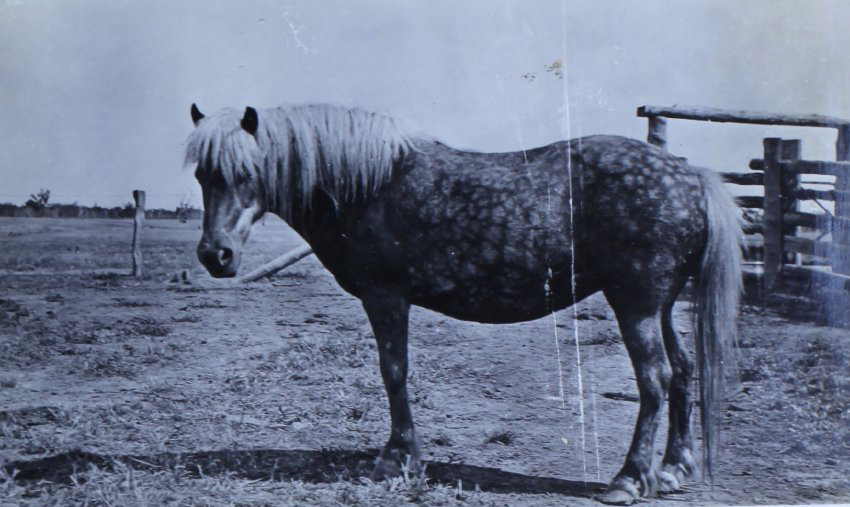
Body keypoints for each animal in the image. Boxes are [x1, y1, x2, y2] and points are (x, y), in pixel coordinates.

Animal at [185, 103, 743, 505]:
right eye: (202, 176)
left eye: (247, 172)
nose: (216, 255)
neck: (371, 184)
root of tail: (691, 177)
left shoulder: (386, 296)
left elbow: (394, 372)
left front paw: (398, 458)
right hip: (663, 305)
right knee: (683, 370)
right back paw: (672, 470)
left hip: (636, 302)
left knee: (655, 379)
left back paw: (628, 479)